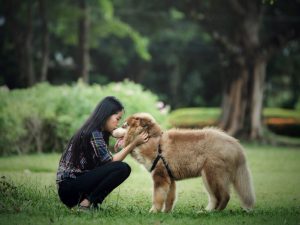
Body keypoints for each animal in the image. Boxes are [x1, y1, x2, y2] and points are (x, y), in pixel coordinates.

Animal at [112, 112, 255, 213]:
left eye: (124, 125)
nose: (112, 130)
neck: (152, 140)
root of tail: (234, 144)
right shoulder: (169, 178)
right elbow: (169, 198)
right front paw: (166, 212)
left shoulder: (160, 176)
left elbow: (157, 197)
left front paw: (153, 211)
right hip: (208, 177)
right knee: (215, 197)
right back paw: (206, 212)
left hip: (213, 174)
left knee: (224, 196)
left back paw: (215, 212)